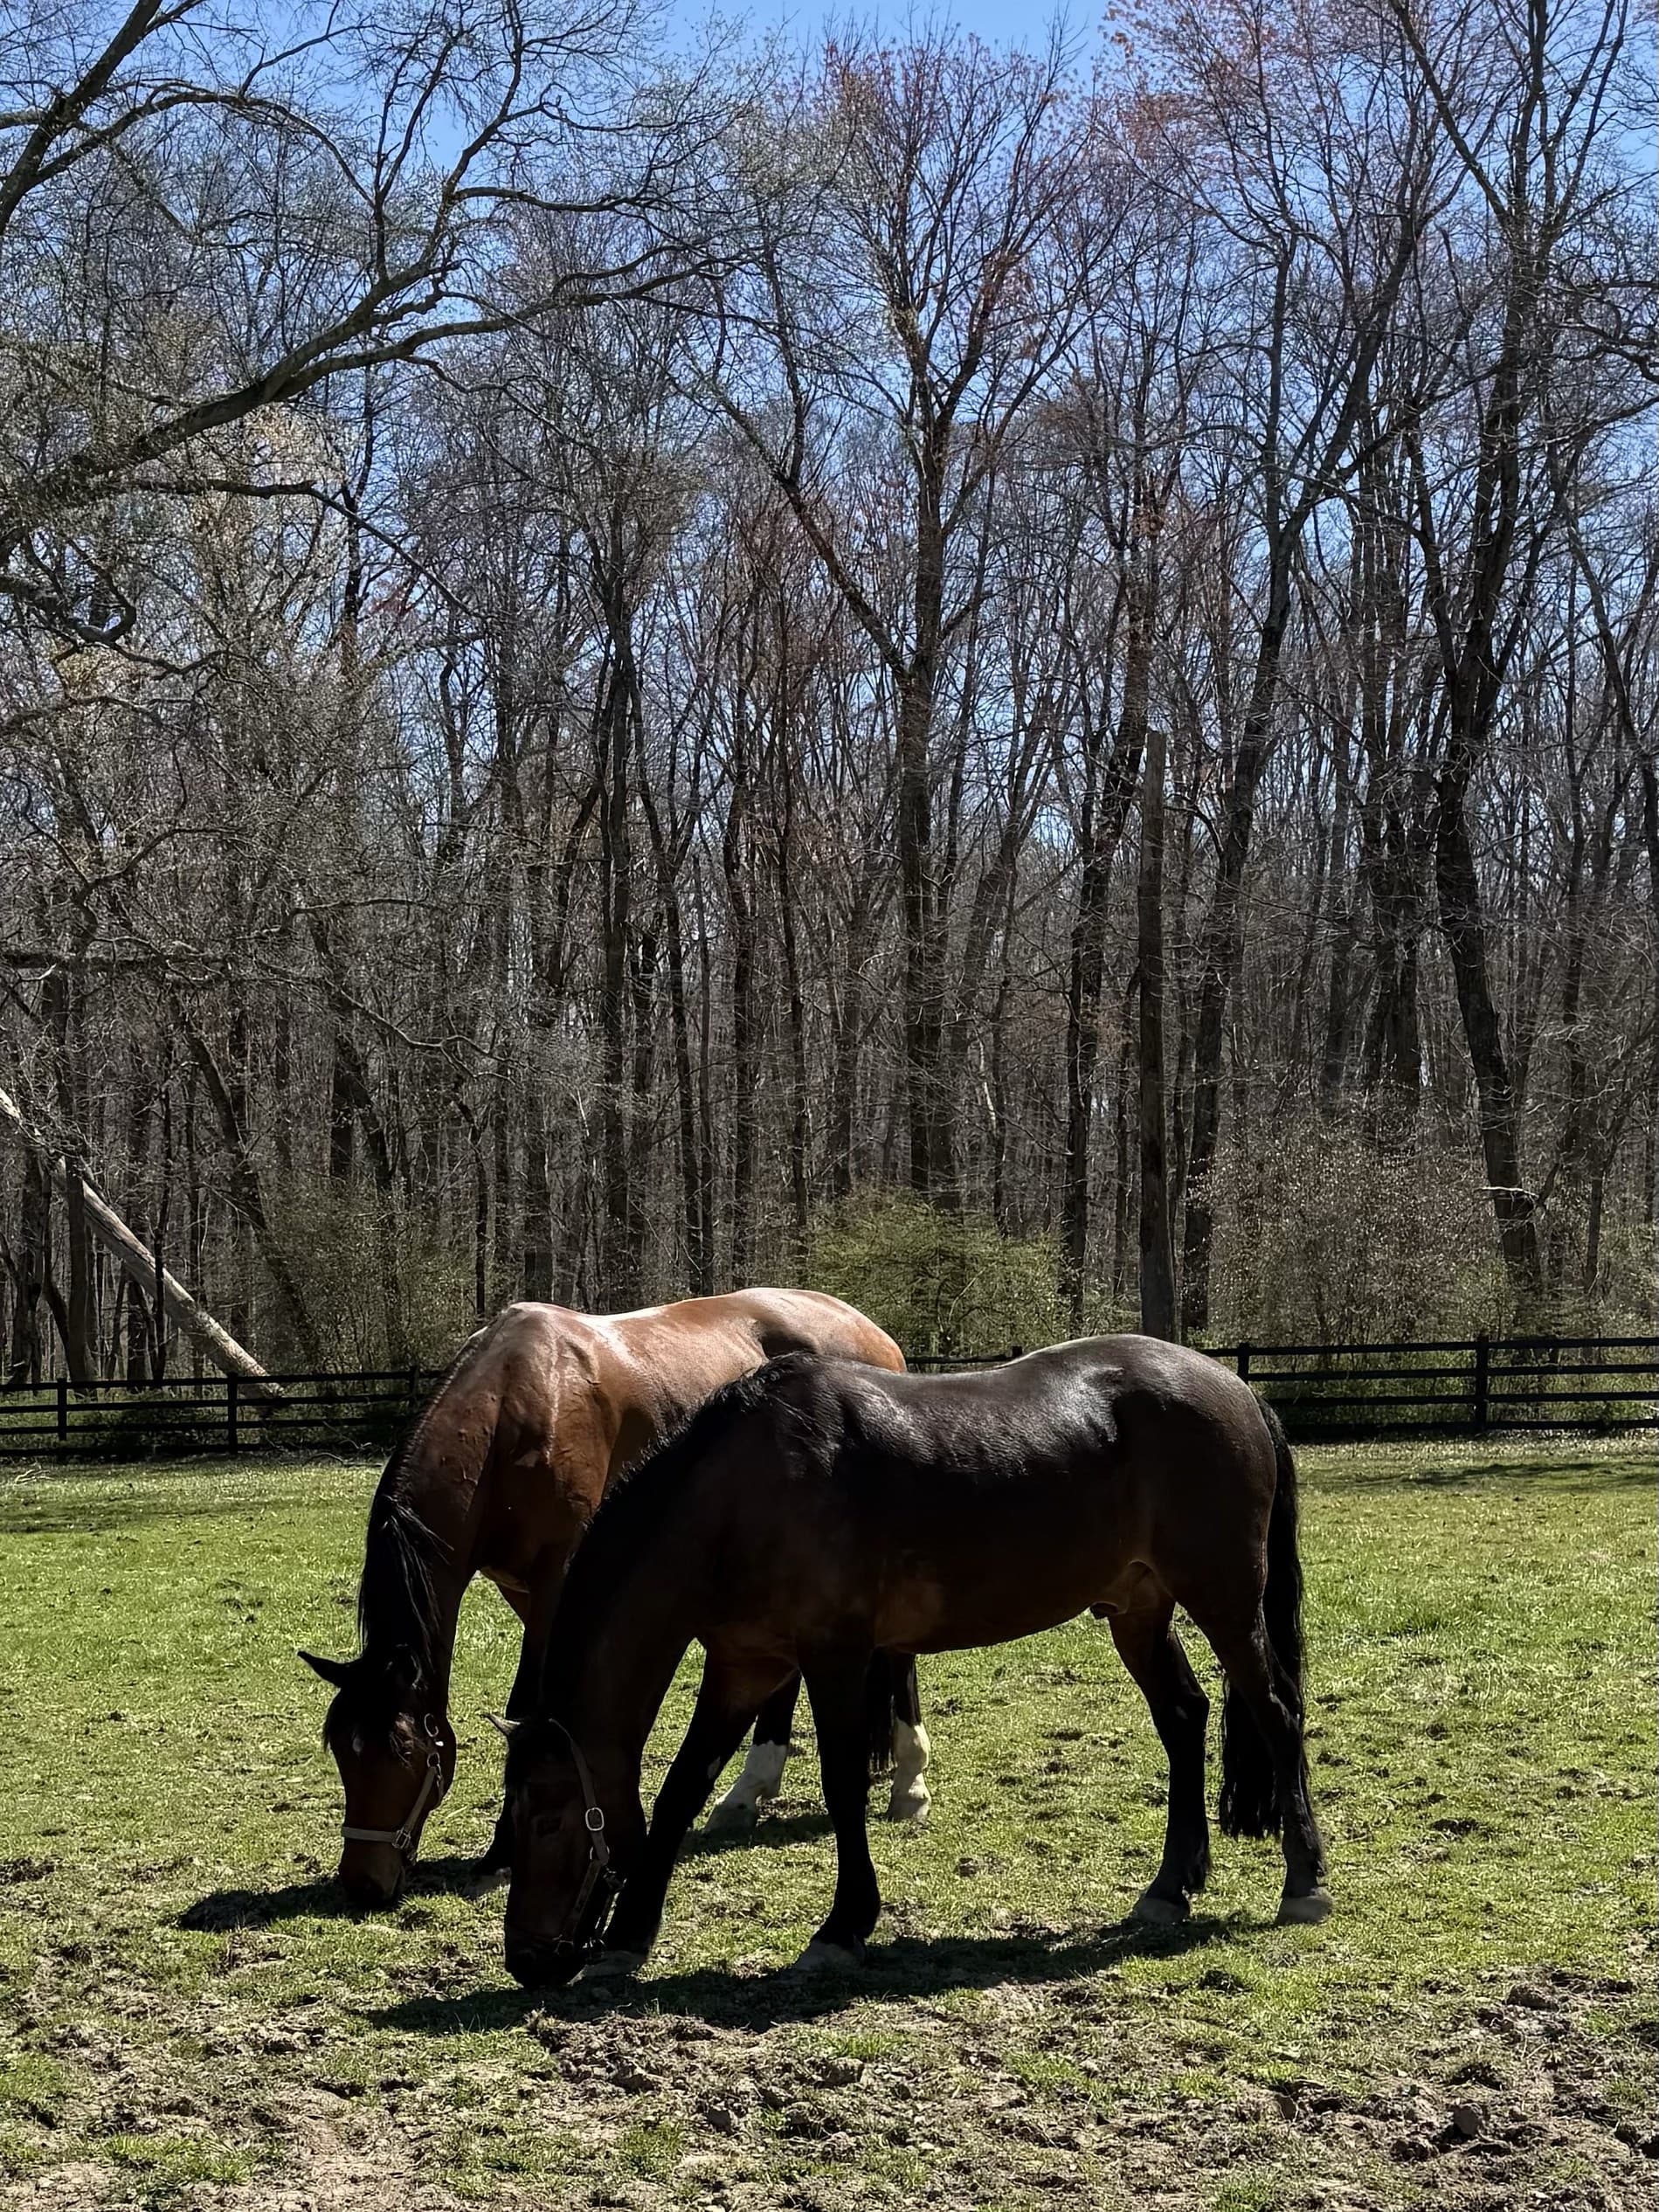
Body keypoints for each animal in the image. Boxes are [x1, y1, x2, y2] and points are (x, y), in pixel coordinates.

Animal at [299, 1291, 928, 1906]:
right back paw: (748, 1792)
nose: (362, 1884)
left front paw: (503, 1852)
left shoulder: (558, 1578)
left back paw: (909, 1785)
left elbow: (527, 1703)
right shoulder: (522, 1589)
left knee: (898, 1657)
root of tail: (874, 1336)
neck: (516, 1407)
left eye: (404, 1755)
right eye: (343, 1753)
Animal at [499, 1335, 1331, 1990]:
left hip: (1223, 1602)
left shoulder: (833, 1656)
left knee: (1275, 1713)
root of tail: (1234, 1388)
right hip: (1137, 1608)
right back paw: (1168, 1889)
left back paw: (1304, 1883)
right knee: (1184, 1718)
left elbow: (840, 1786)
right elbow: (679, 1790)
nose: (526, 1959)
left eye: (546, 1818)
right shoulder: (744, 1664)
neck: (736, 1493)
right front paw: (628, 1938)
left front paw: (841, 1927)